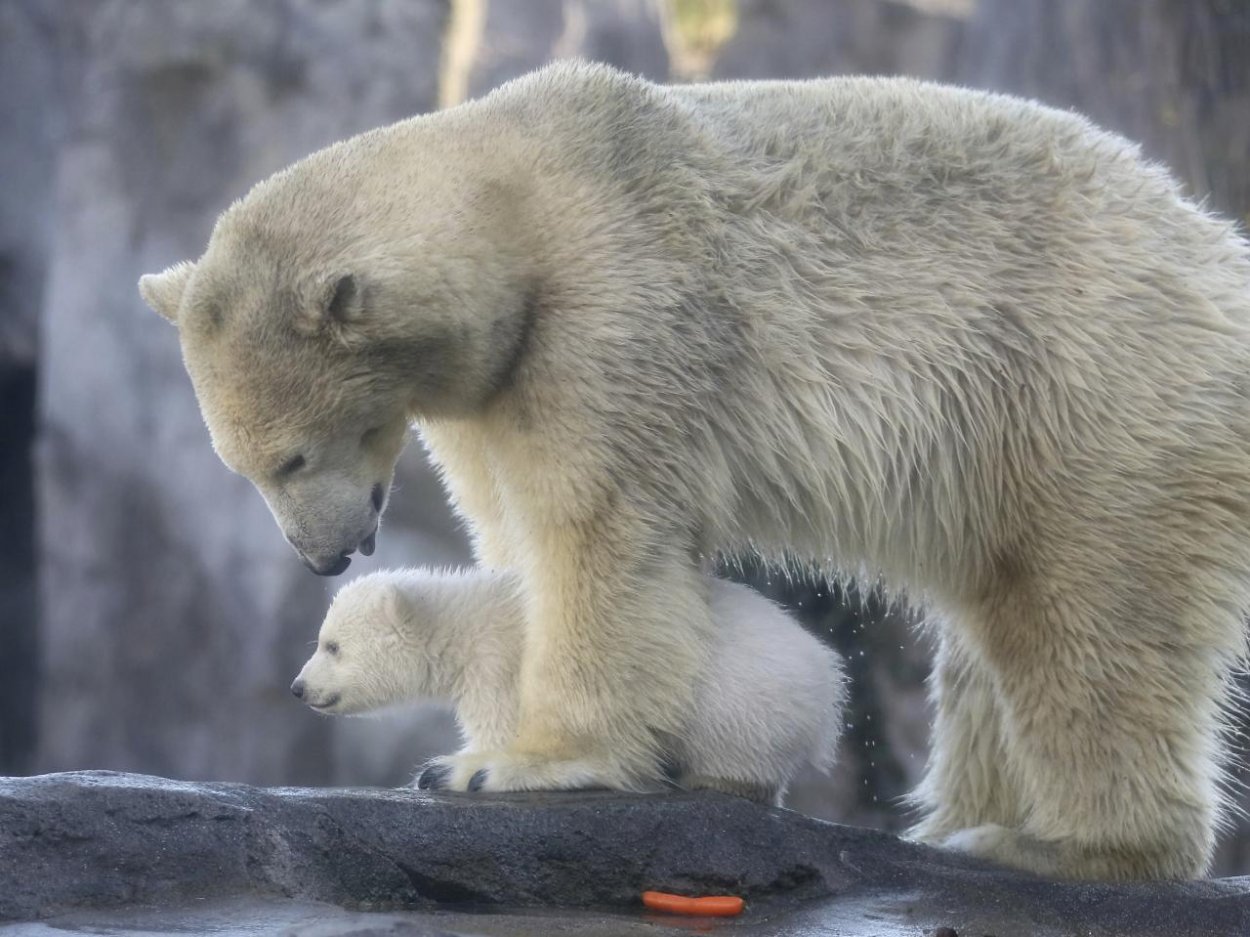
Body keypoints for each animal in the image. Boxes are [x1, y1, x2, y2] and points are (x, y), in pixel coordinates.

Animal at [136, 62, 1250, 884]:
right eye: (240, 464)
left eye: (291, 454)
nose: (323, 556)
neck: (523, 195)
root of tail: (1214, 249)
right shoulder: (490, 389)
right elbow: (513, 529)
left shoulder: (615, 315)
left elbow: (599, 530)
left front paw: (508, 762)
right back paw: (951, 821)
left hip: (1088, 387)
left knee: (1090, 619)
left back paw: (1062, 842)